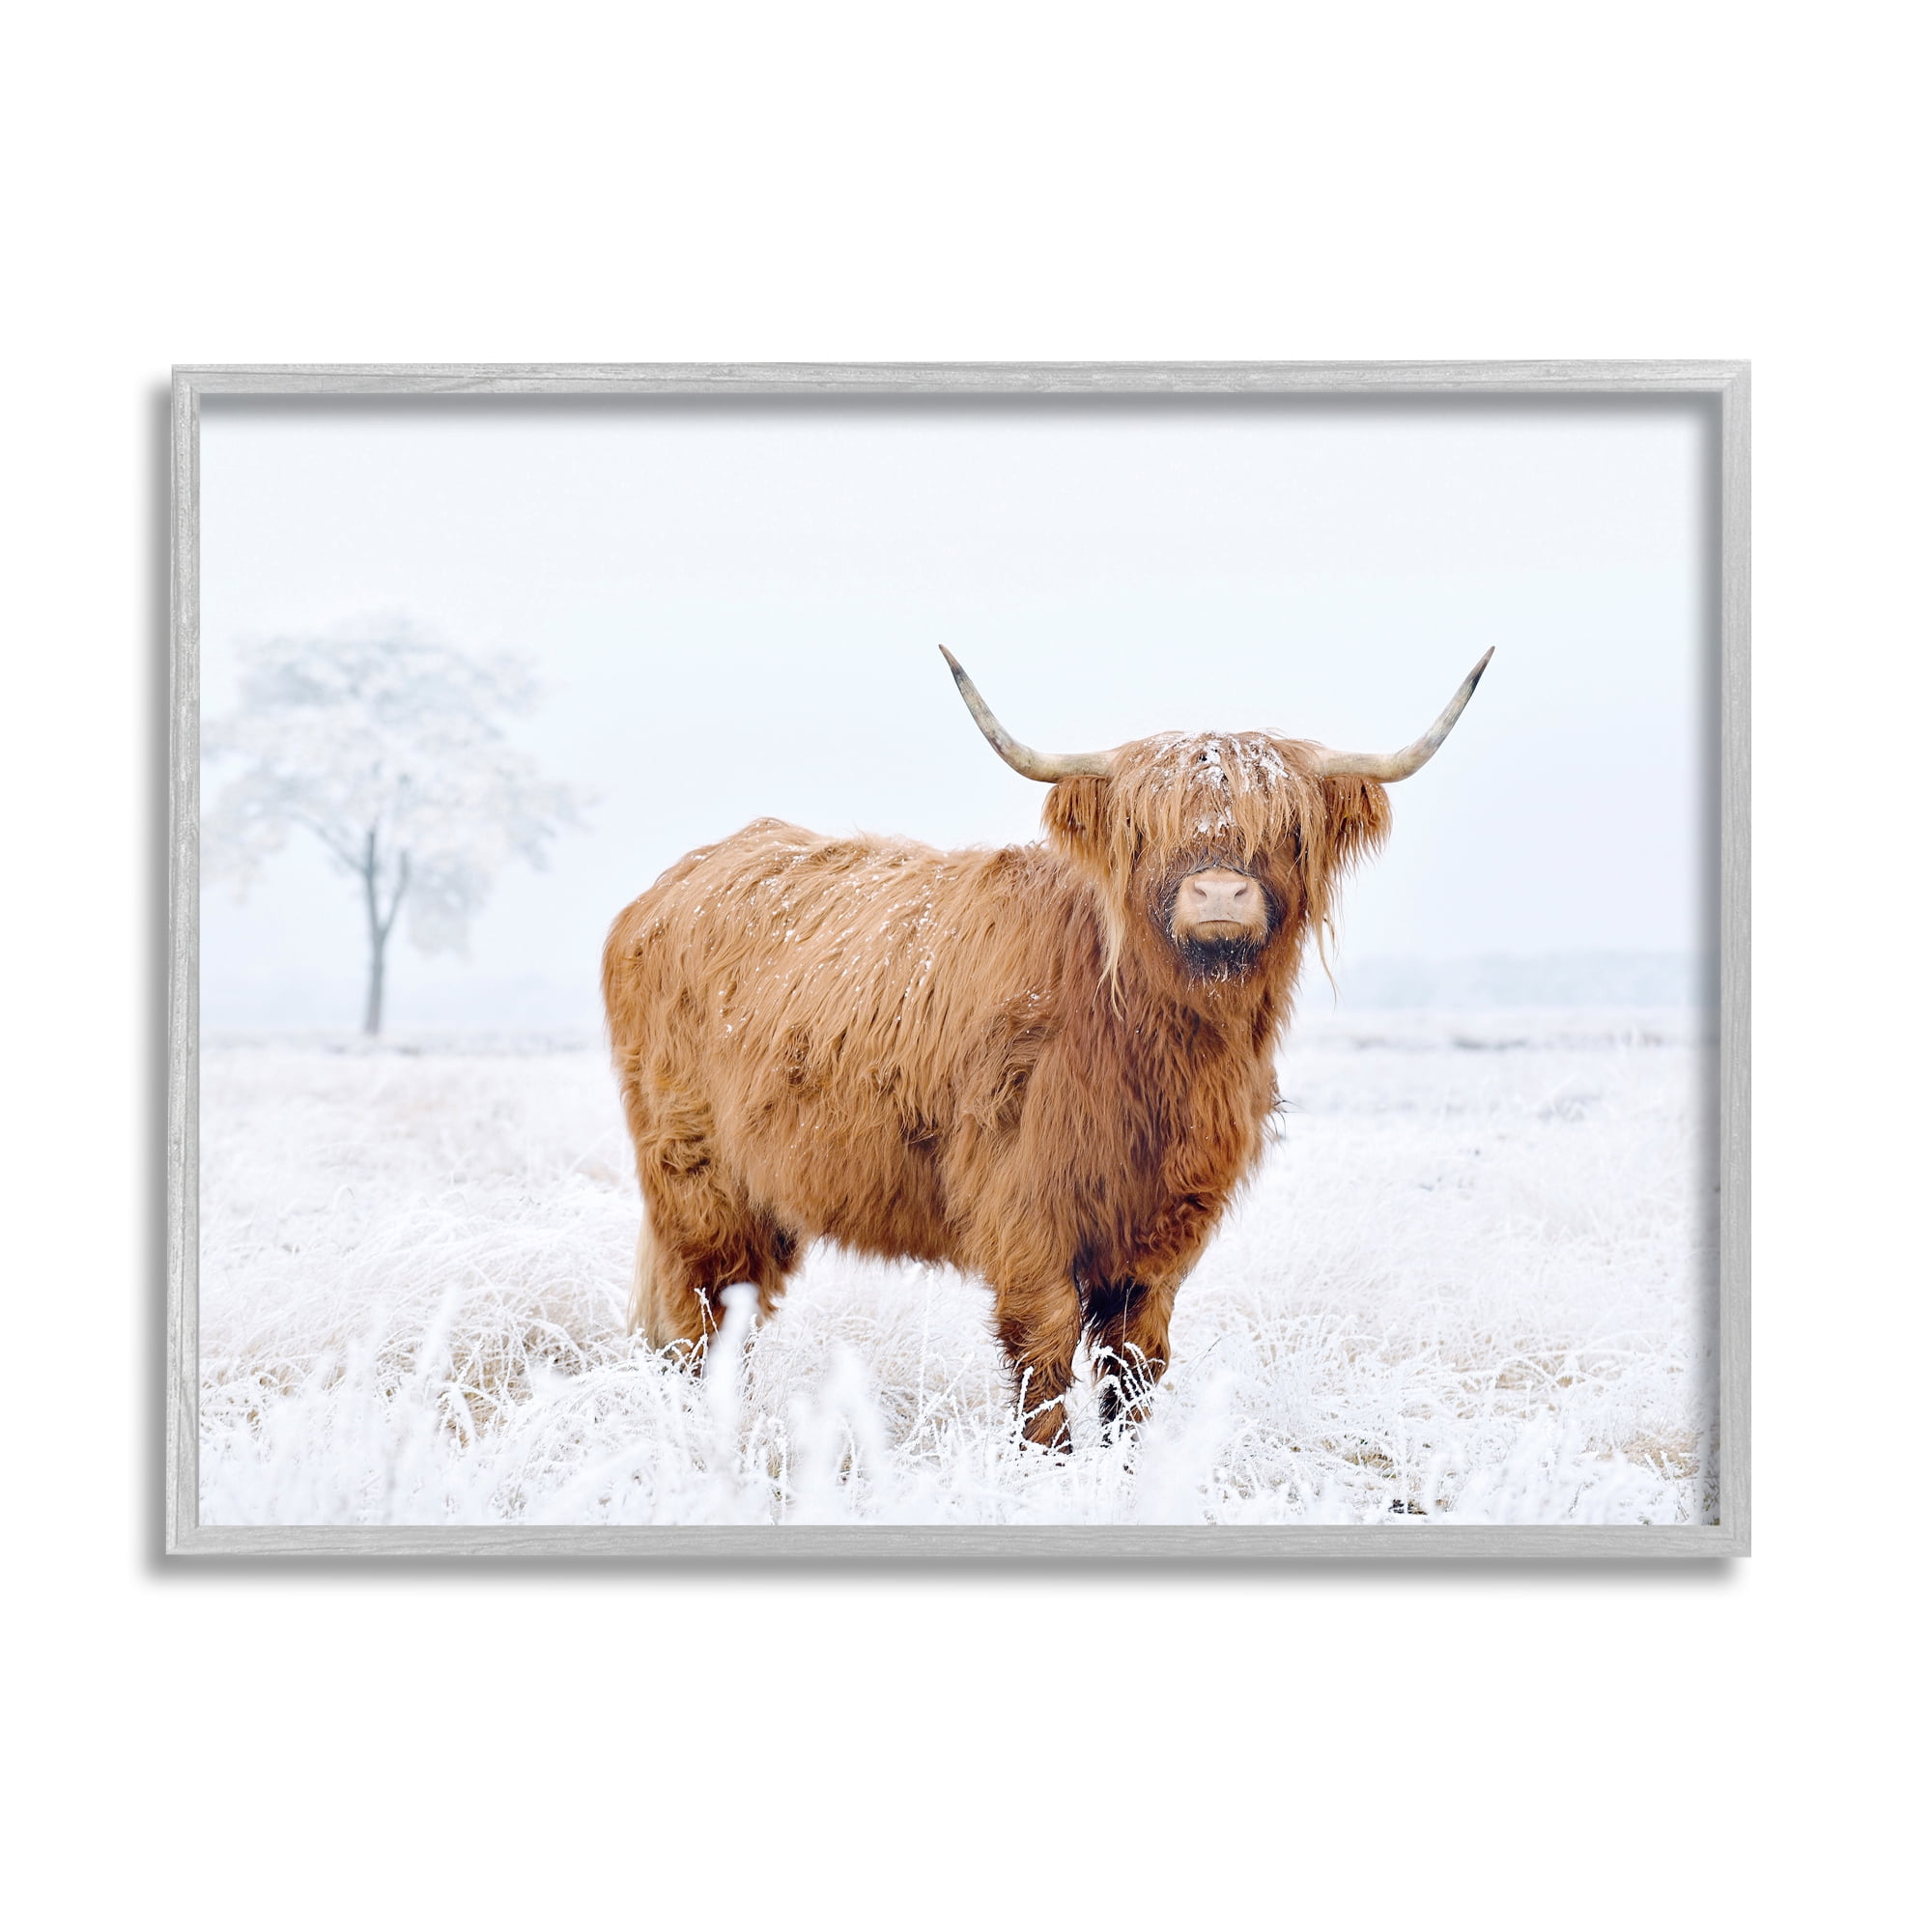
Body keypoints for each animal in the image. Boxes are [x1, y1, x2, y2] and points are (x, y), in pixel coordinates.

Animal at [602, 648, 1491, 1447]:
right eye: (1144, 828)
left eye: (1285, 827)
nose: (1217, 892)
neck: (1158, 1051)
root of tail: (671, 886)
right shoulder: (1026, 1208)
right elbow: (1045, 1356)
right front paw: (1048, 1467)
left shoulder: (1163, 1230)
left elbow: (1136, 1364)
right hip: (696, 1178)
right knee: (699, 1314)